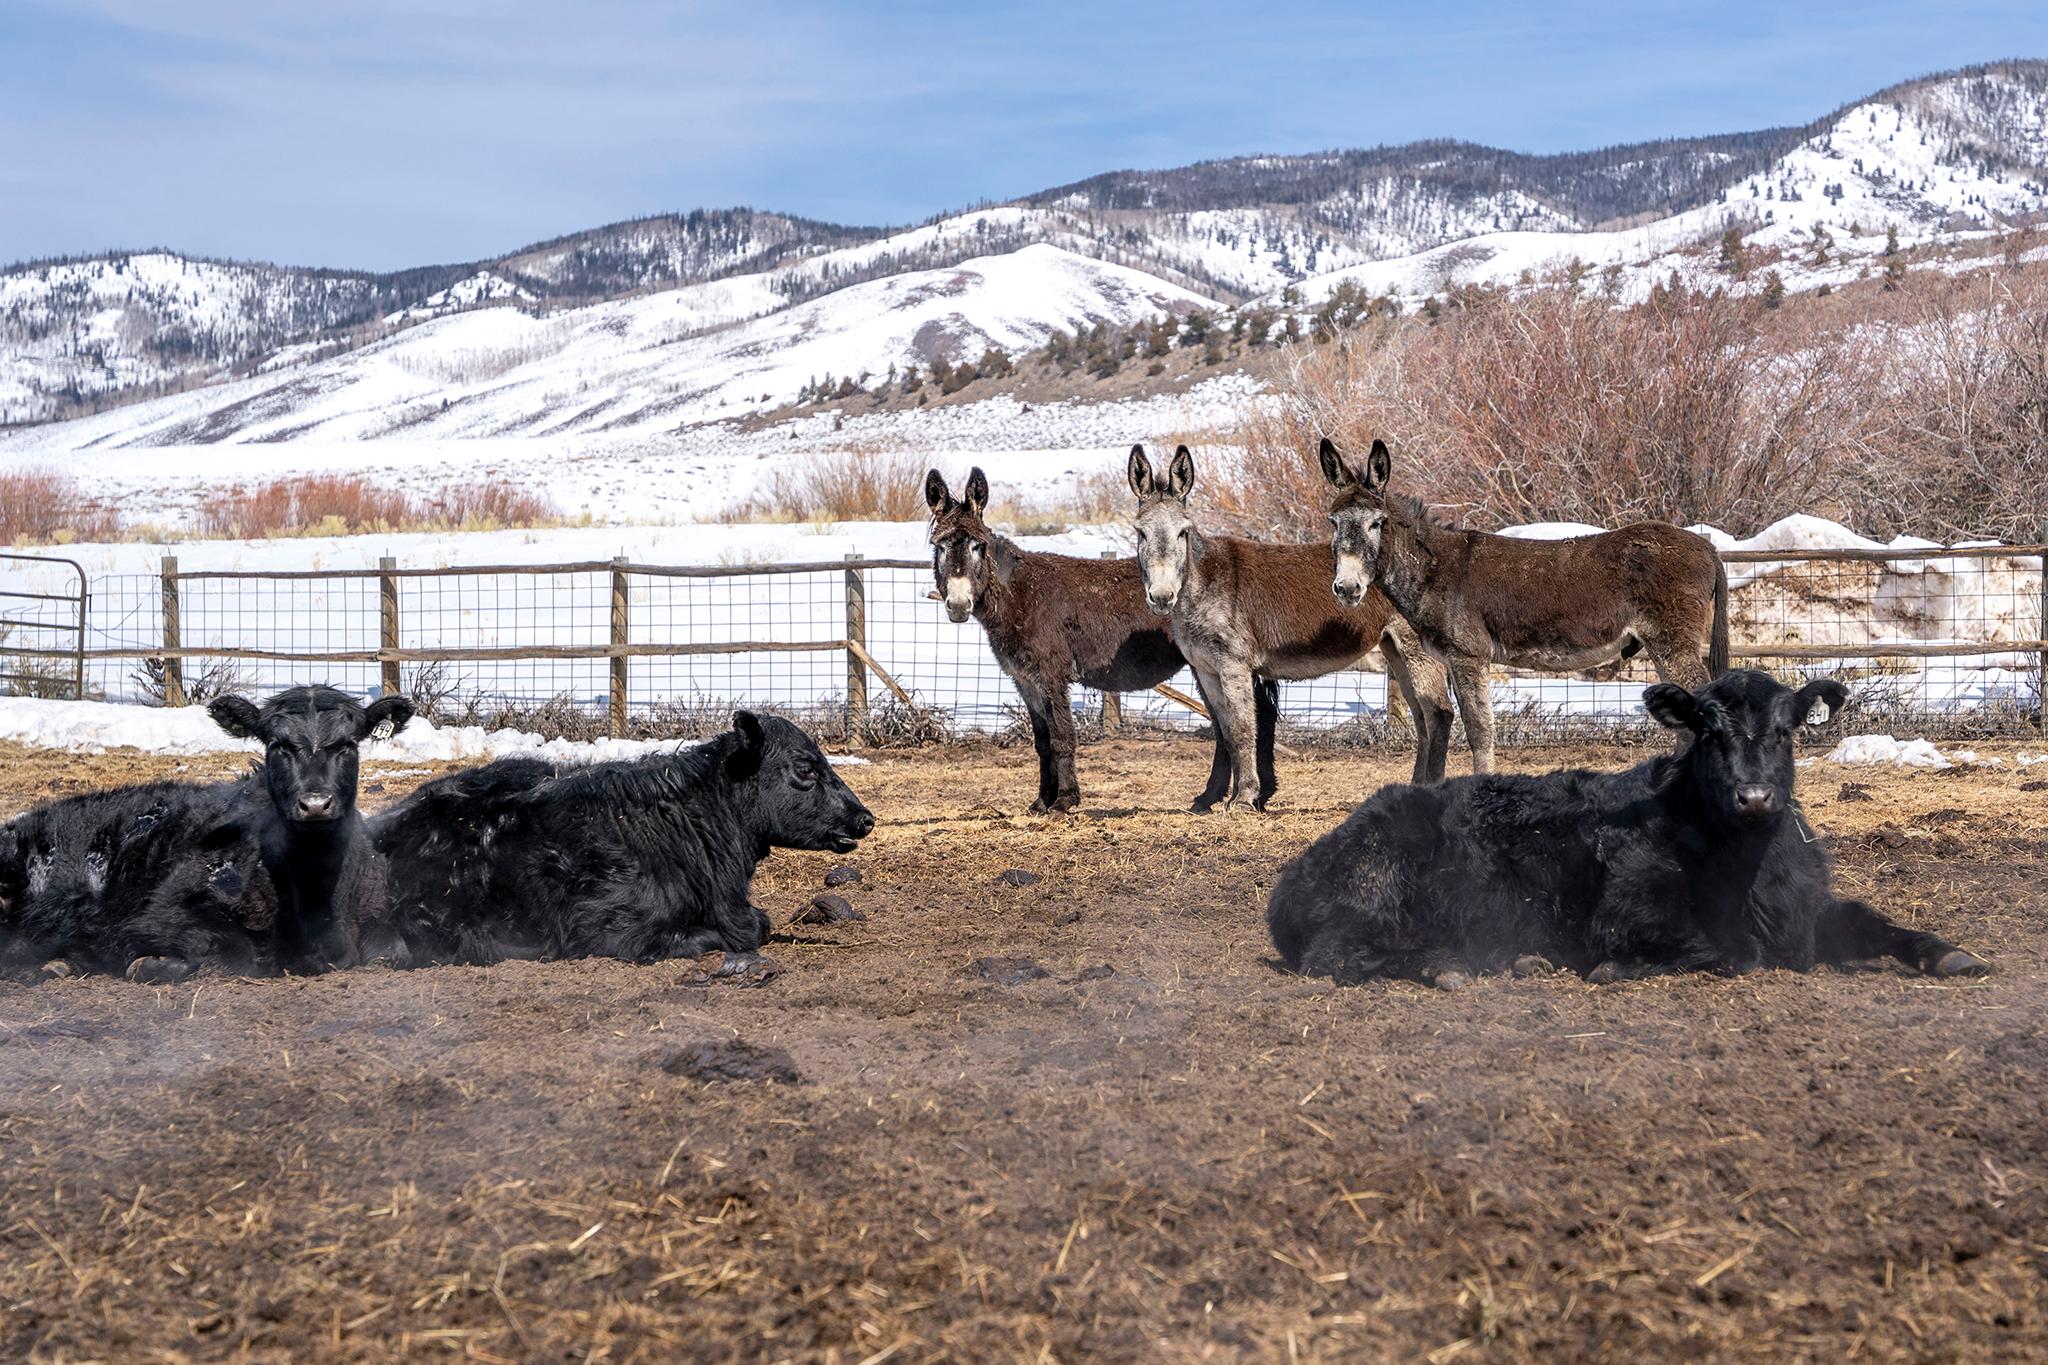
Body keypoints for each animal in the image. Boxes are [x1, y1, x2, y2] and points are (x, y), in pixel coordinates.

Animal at [0, 687, 415, 978]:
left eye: (348, 744)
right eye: (277, 745)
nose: (315, 804)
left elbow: (393, 951)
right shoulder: (155, 917)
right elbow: (223, 954)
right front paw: (146, 965)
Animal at [1269, 667, 1990, 986]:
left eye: (1787, 730)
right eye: (1706, 730)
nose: (1755, 795)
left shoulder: (1809, 910)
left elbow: (1873, 920)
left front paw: (1950, 953)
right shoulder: (1626, 913)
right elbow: (1734, 951)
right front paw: (1617, 969)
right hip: (1374, 893)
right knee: (1342, 957)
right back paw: (1459, 964)